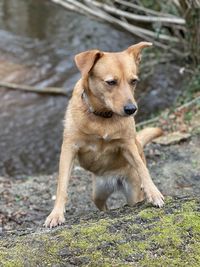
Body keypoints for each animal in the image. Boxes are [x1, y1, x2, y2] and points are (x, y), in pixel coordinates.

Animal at [45, 42, 164, 228]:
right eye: (111, 82)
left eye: (134, 81)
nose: (131, 109)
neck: (103, 116)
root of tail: (114, 181)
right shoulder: (69, 148)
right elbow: (62, 185)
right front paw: (56, 214)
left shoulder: (128, 145)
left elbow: (142, 167)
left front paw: (154, 192)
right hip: (98, 194)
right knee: (104, 206)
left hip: (132, 191)